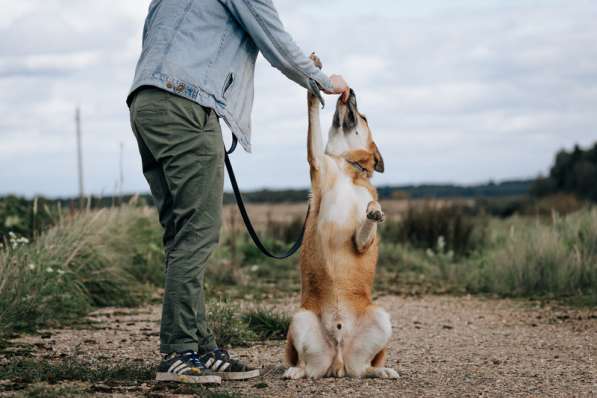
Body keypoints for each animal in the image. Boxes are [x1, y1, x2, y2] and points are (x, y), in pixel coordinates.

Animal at [282, 53, 398, 380]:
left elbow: (367, 225)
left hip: (381, 317)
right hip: (300, 319)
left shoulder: (361, 242)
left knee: (365, 368)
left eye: (364, 117)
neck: (348, 167)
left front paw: (373, 211)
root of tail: (339, 360)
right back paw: (295, 371)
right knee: (306, 366)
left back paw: (382, 371)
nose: (351, 90)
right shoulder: (317, 162)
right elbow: (313, 117)